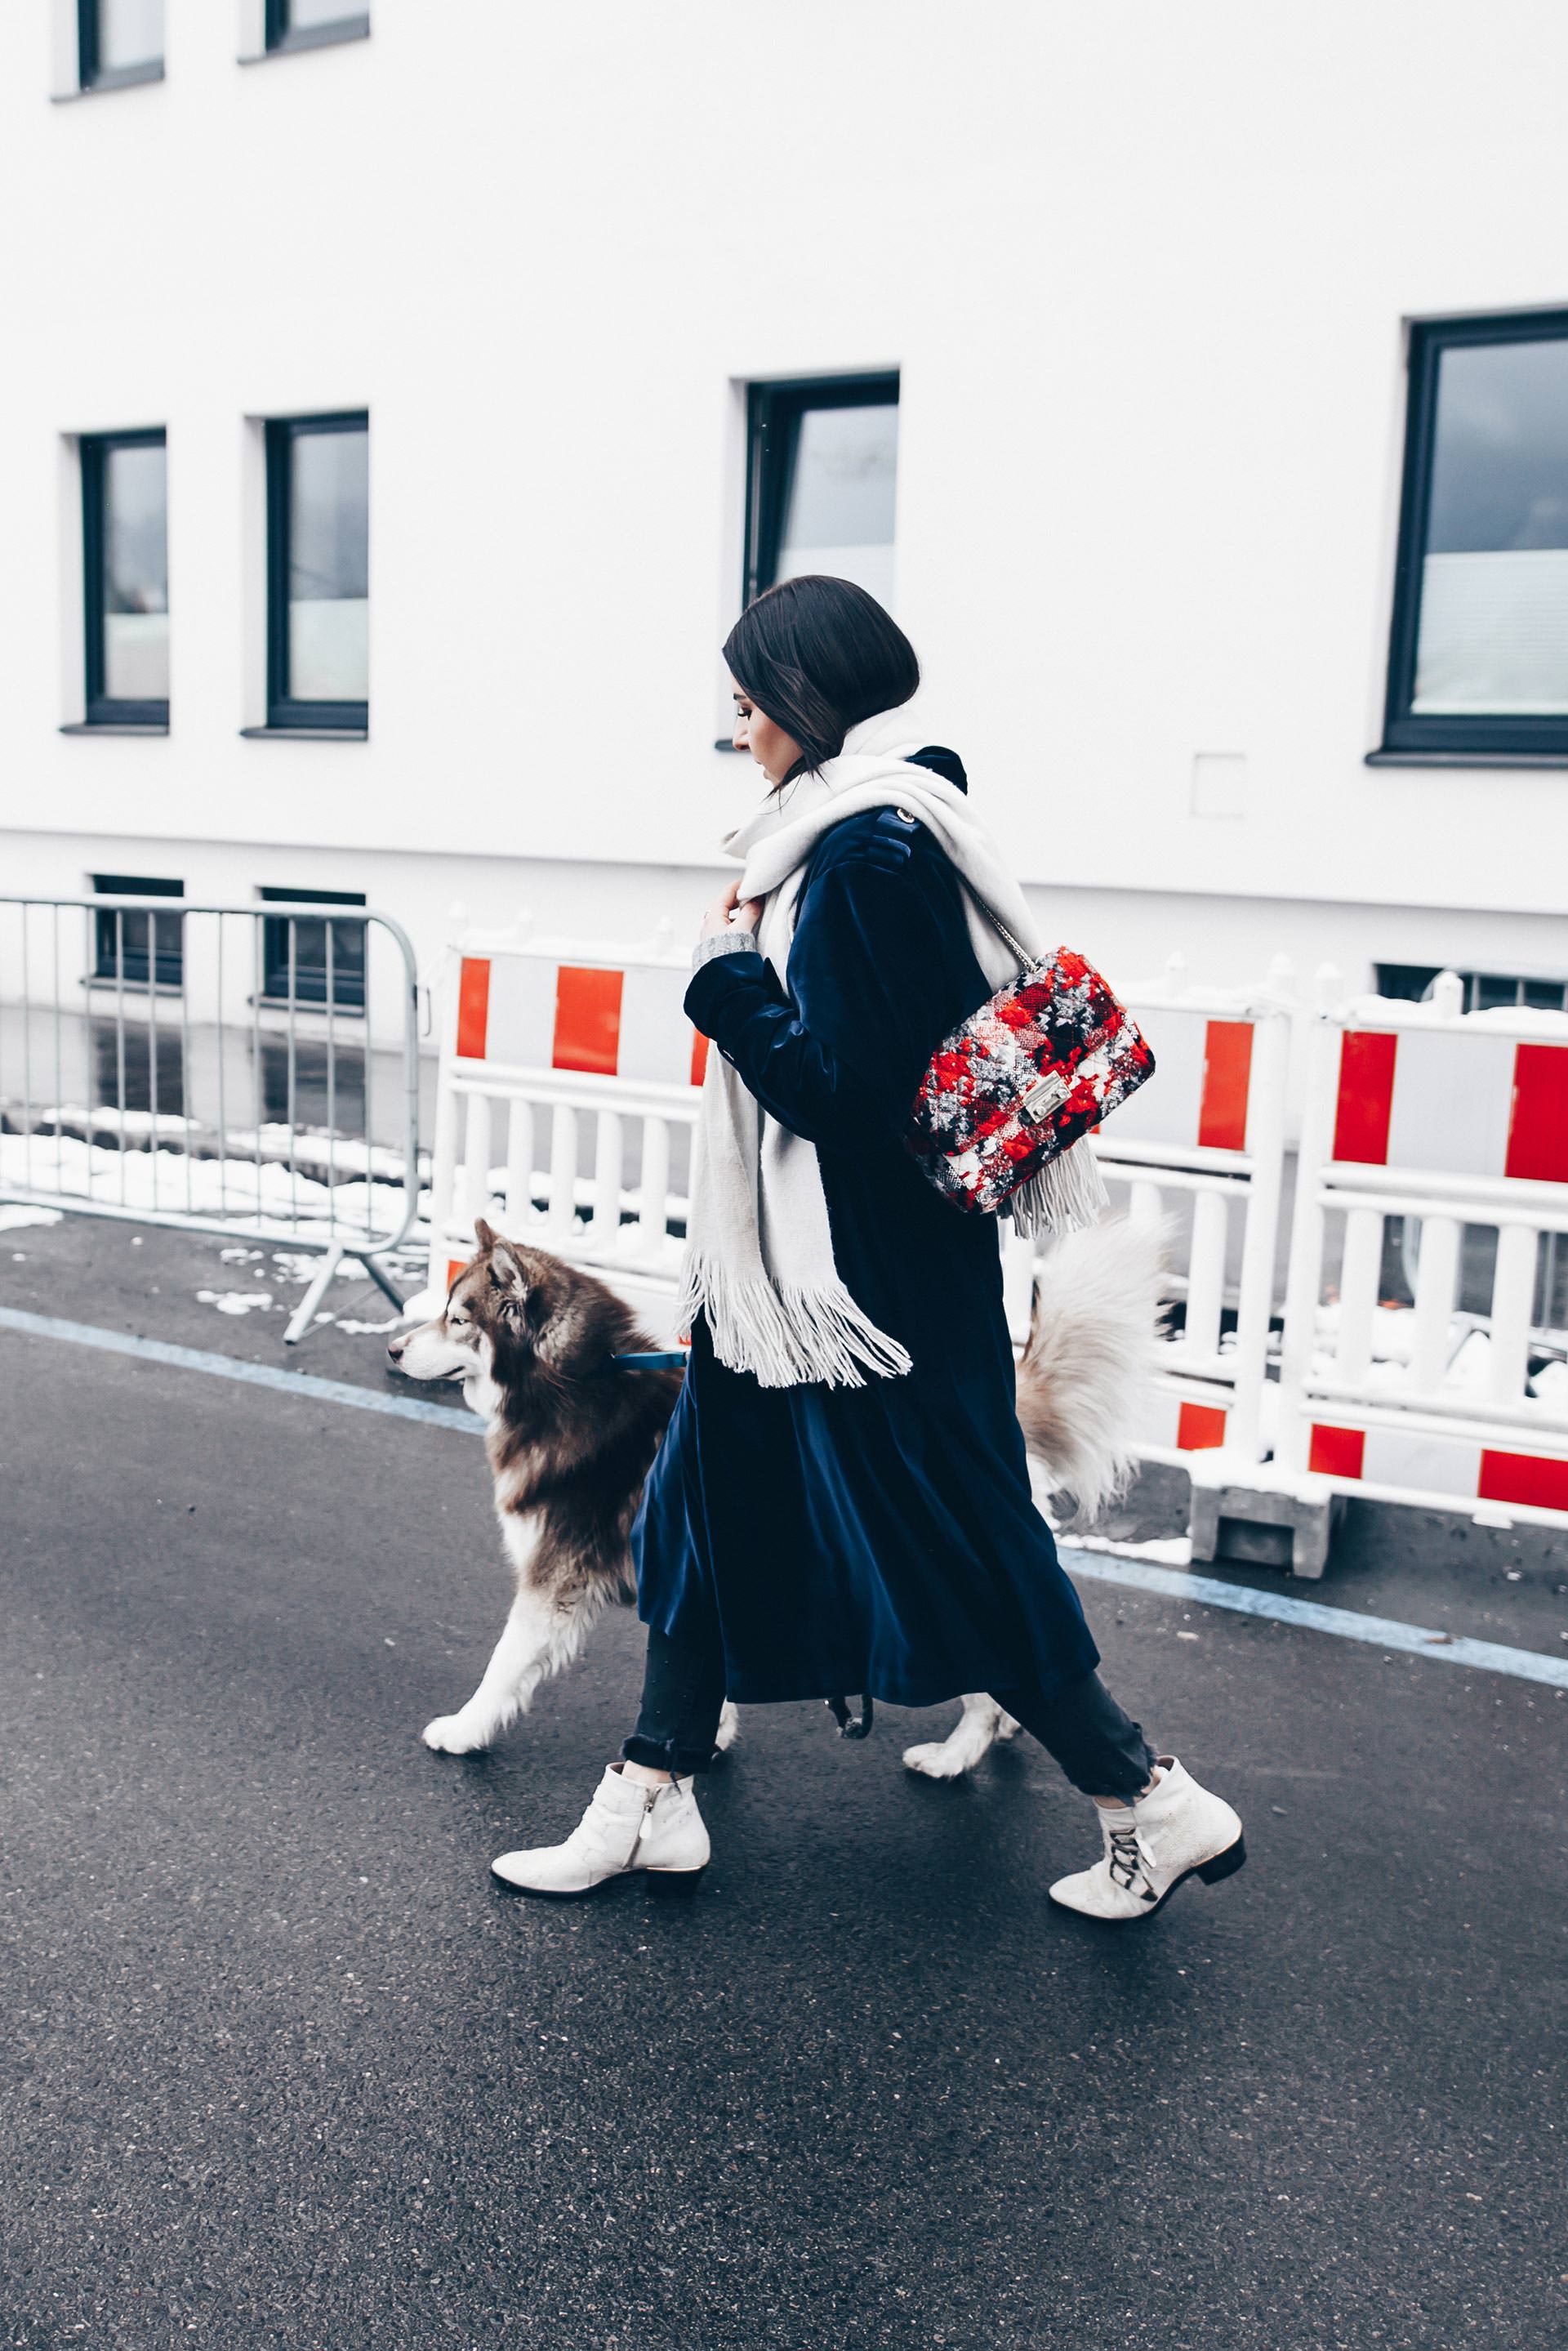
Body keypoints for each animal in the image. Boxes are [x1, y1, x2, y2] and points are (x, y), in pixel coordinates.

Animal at [385, 1222, 1161, 1768]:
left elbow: (503, 1666)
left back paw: (953, 1759)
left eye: (458, 1318)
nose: (392, 1347)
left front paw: (464, 1730)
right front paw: (706, 1741)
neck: (573, 1385)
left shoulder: (555, 1585)